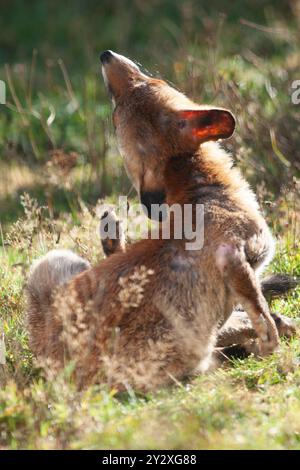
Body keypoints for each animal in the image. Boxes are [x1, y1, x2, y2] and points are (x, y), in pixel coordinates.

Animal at [26, 50, 298, 390]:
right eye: (116, 110)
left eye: (149, 80)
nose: (106, 55)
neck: (202, 191)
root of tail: (58, 378)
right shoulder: (233, 255)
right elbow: (260, 313)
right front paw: (271, 348)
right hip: (187, 357)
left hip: (53, 262)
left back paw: (111, 235)